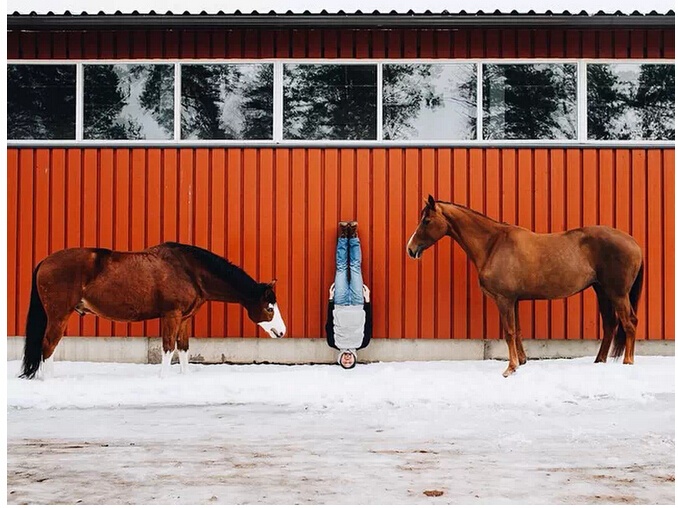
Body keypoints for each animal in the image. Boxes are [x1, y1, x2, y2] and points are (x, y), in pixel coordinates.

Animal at [20, 241, 286, 378]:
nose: (282, 332)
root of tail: (45, 261)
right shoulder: (171, 315)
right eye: (269, 307)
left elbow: (183, 348)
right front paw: (164, 379)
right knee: (48, 345)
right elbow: (168, 348)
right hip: (58, 315)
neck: (189, 270)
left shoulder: (184, 318)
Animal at [406, 195, 644, 378]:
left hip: (617, 294)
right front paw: (521, 361)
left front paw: (510, 369)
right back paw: (599, 362)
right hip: (602, 291)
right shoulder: (515, 300)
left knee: (629, 323)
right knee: (610, 324)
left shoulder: (504, 300)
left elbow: (509, 332)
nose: (411, 249)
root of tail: (634, 243)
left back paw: (628, 362)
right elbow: (518, 330)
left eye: (426, 220)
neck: (493, 245)